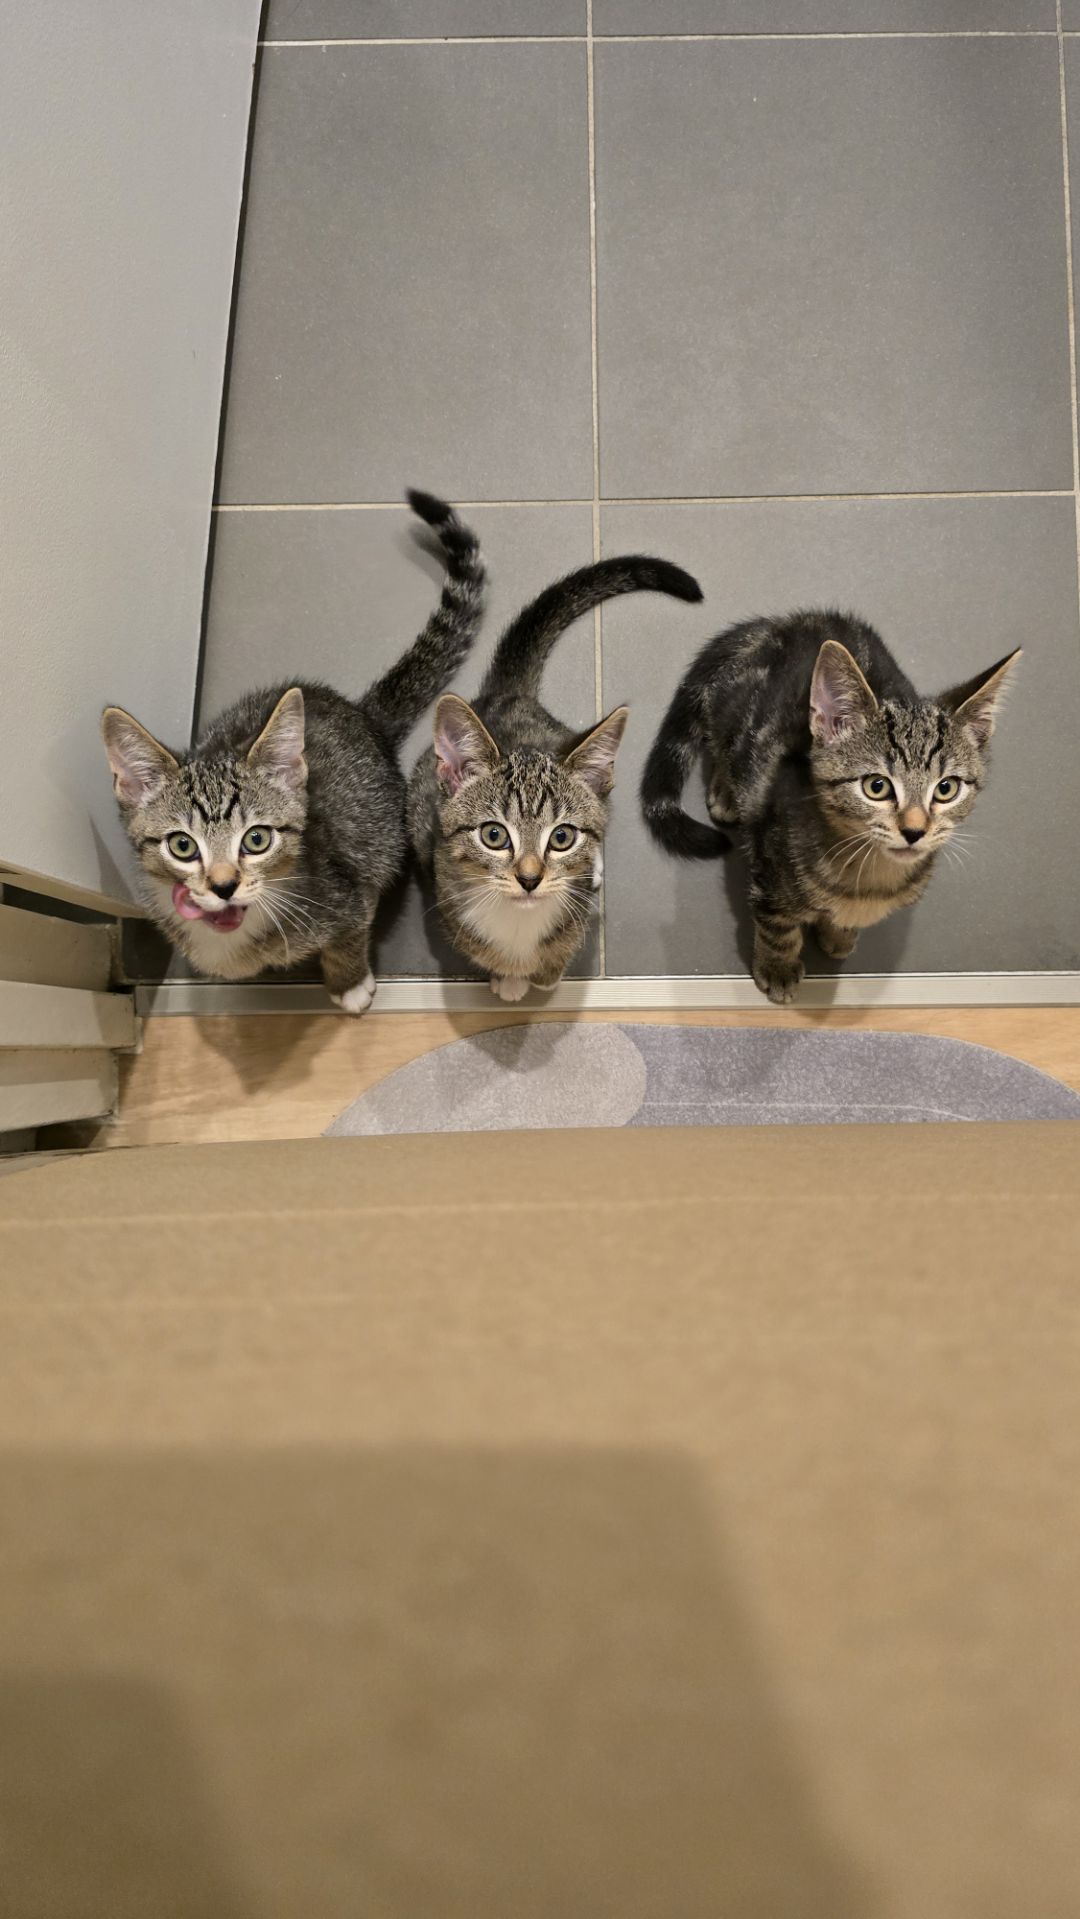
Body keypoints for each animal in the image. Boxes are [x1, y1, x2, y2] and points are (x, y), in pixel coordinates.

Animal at [101, 490, 485, 1011]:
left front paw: (349, 985)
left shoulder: (348, 895)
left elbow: (349, 937)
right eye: (182, 845)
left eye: (257, 839)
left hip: (383, 833)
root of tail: (361, 713)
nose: (224, 886)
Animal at [407, 554, 703, 1000]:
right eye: (493, 835)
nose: (530, 879)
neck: (519, 919)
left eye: (562, 837)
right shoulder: (449, 901)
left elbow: (562, 946)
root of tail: (508, 695)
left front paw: (546, 975)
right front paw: (509, 977)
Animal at [641, 608, 1020, 1003]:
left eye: (946, 789)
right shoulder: (768, 874)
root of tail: (782, 622)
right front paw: (778, 969)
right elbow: (777, 928)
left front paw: (838, 935)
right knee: (722, 743)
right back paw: (727, 794)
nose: (914, 831)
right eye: (877, 787)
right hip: (731, 713)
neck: (868, 876)